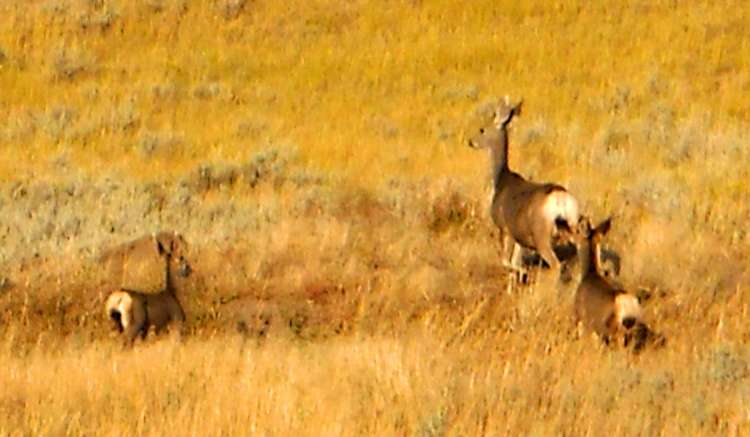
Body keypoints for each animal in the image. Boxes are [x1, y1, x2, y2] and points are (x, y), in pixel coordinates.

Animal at [470, 97, 580, 278]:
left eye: (482, 129)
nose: (470, 141)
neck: (502, 179)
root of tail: (560, 198)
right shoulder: (519, 238)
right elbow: (514, 261)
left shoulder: (505, 229)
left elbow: (506, 262)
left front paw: (523, 272)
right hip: (572, 227)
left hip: (542, 235)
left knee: (556, 265)